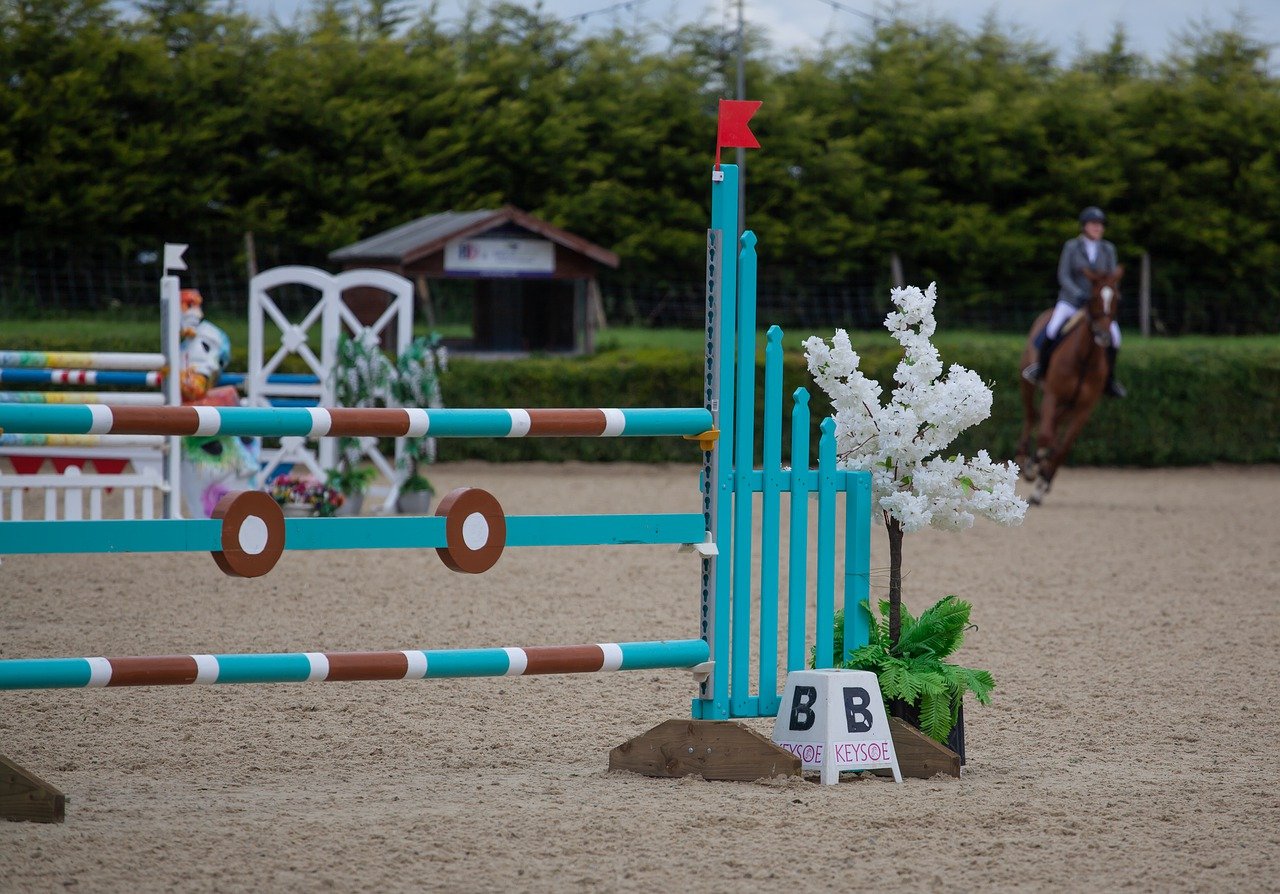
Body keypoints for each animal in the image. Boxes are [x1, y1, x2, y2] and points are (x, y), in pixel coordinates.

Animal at [1015, 267, 1124, 506]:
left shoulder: (1084, 408)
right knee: (1031, 416)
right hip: (1028, 383)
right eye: (1093, 297)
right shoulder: (1052, 394)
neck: (1085, 359)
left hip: (1068, 404)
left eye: (1116, 299)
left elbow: (1062, 448)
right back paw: (1025, 459)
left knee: (1053, 426)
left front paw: (1043, 483)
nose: (1103, 335)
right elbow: (1045, 436)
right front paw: (1035, 467)